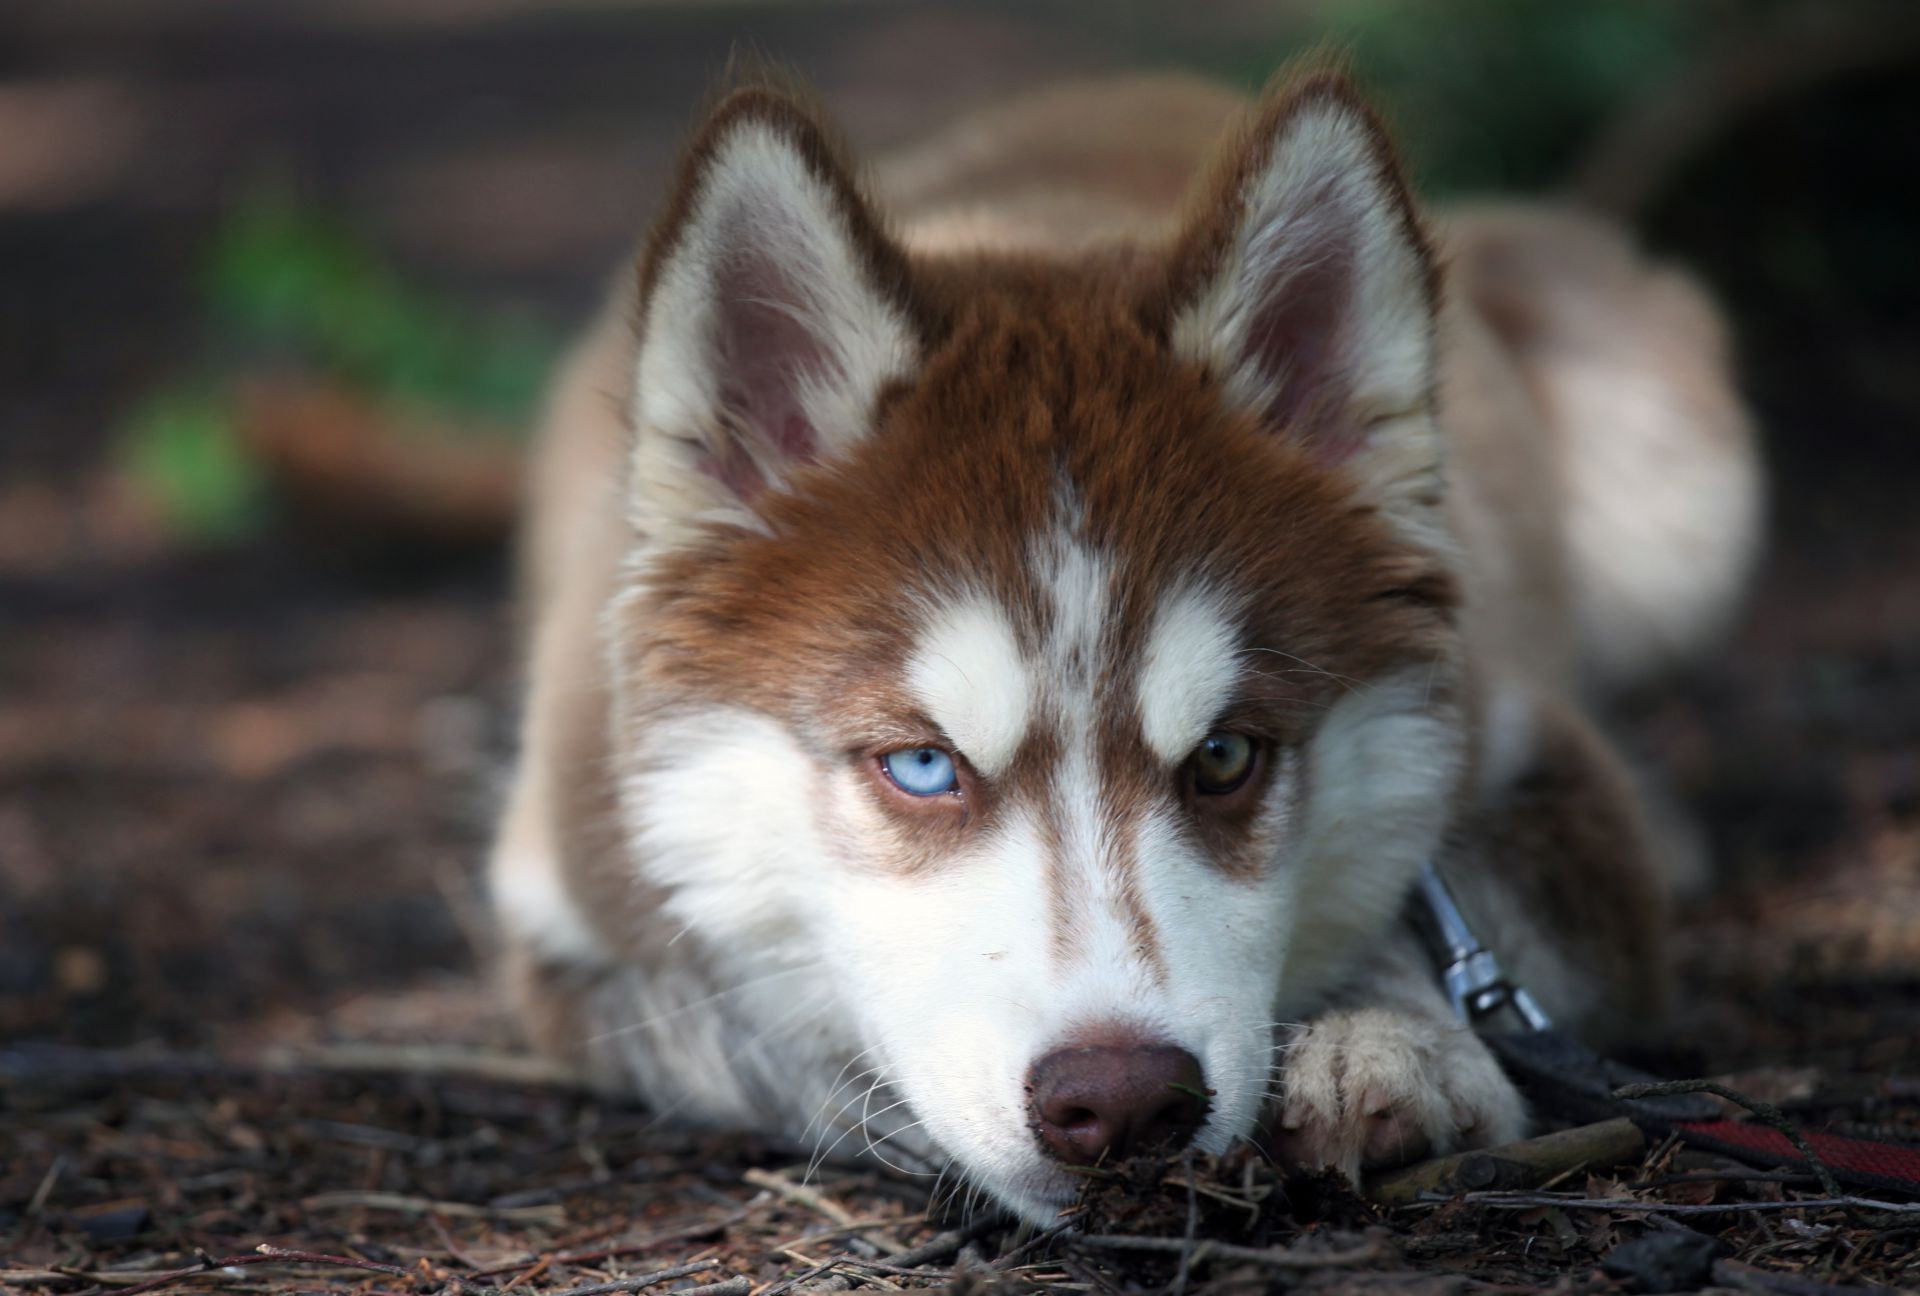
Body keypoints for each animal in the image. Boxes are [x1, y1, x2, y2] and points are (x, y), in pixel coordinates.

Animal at [487, 71, 1758, 1228]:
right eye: (921, 766)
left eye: (1228, 756)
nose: (1123, 1102)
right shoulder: (566, 906)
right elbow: (727, 1024)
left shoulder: (1537, 775)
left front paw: (1390, 1039)